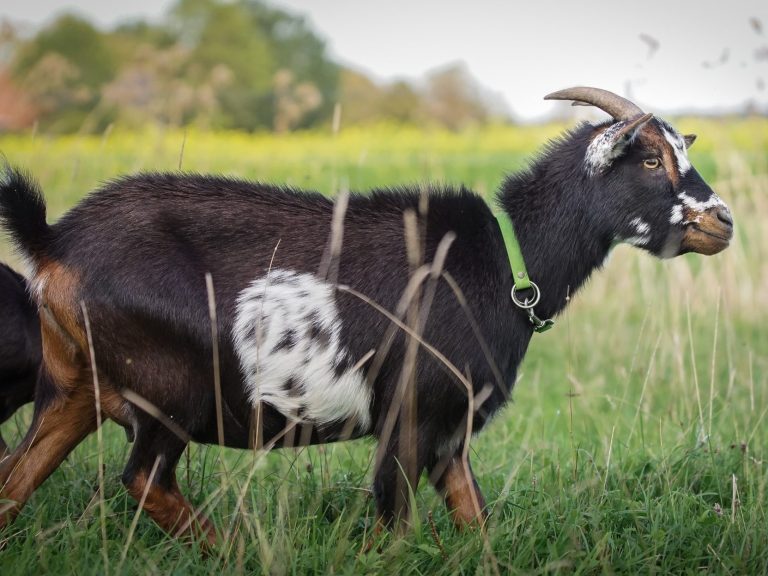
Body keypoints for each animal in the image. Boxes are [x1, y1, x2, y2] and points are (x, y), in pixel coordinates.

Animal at [0, 88, 733, 544]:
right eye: (649, 158)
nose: (722, 221)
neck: (505, 258)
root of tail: (53, 241)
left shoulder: (449, 432)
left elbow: (478, 526)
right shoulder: (409, 415)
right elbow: (395, 532)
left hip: (71, 389)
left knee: (15, 480)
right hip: (171, 389)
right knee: (145, 479)